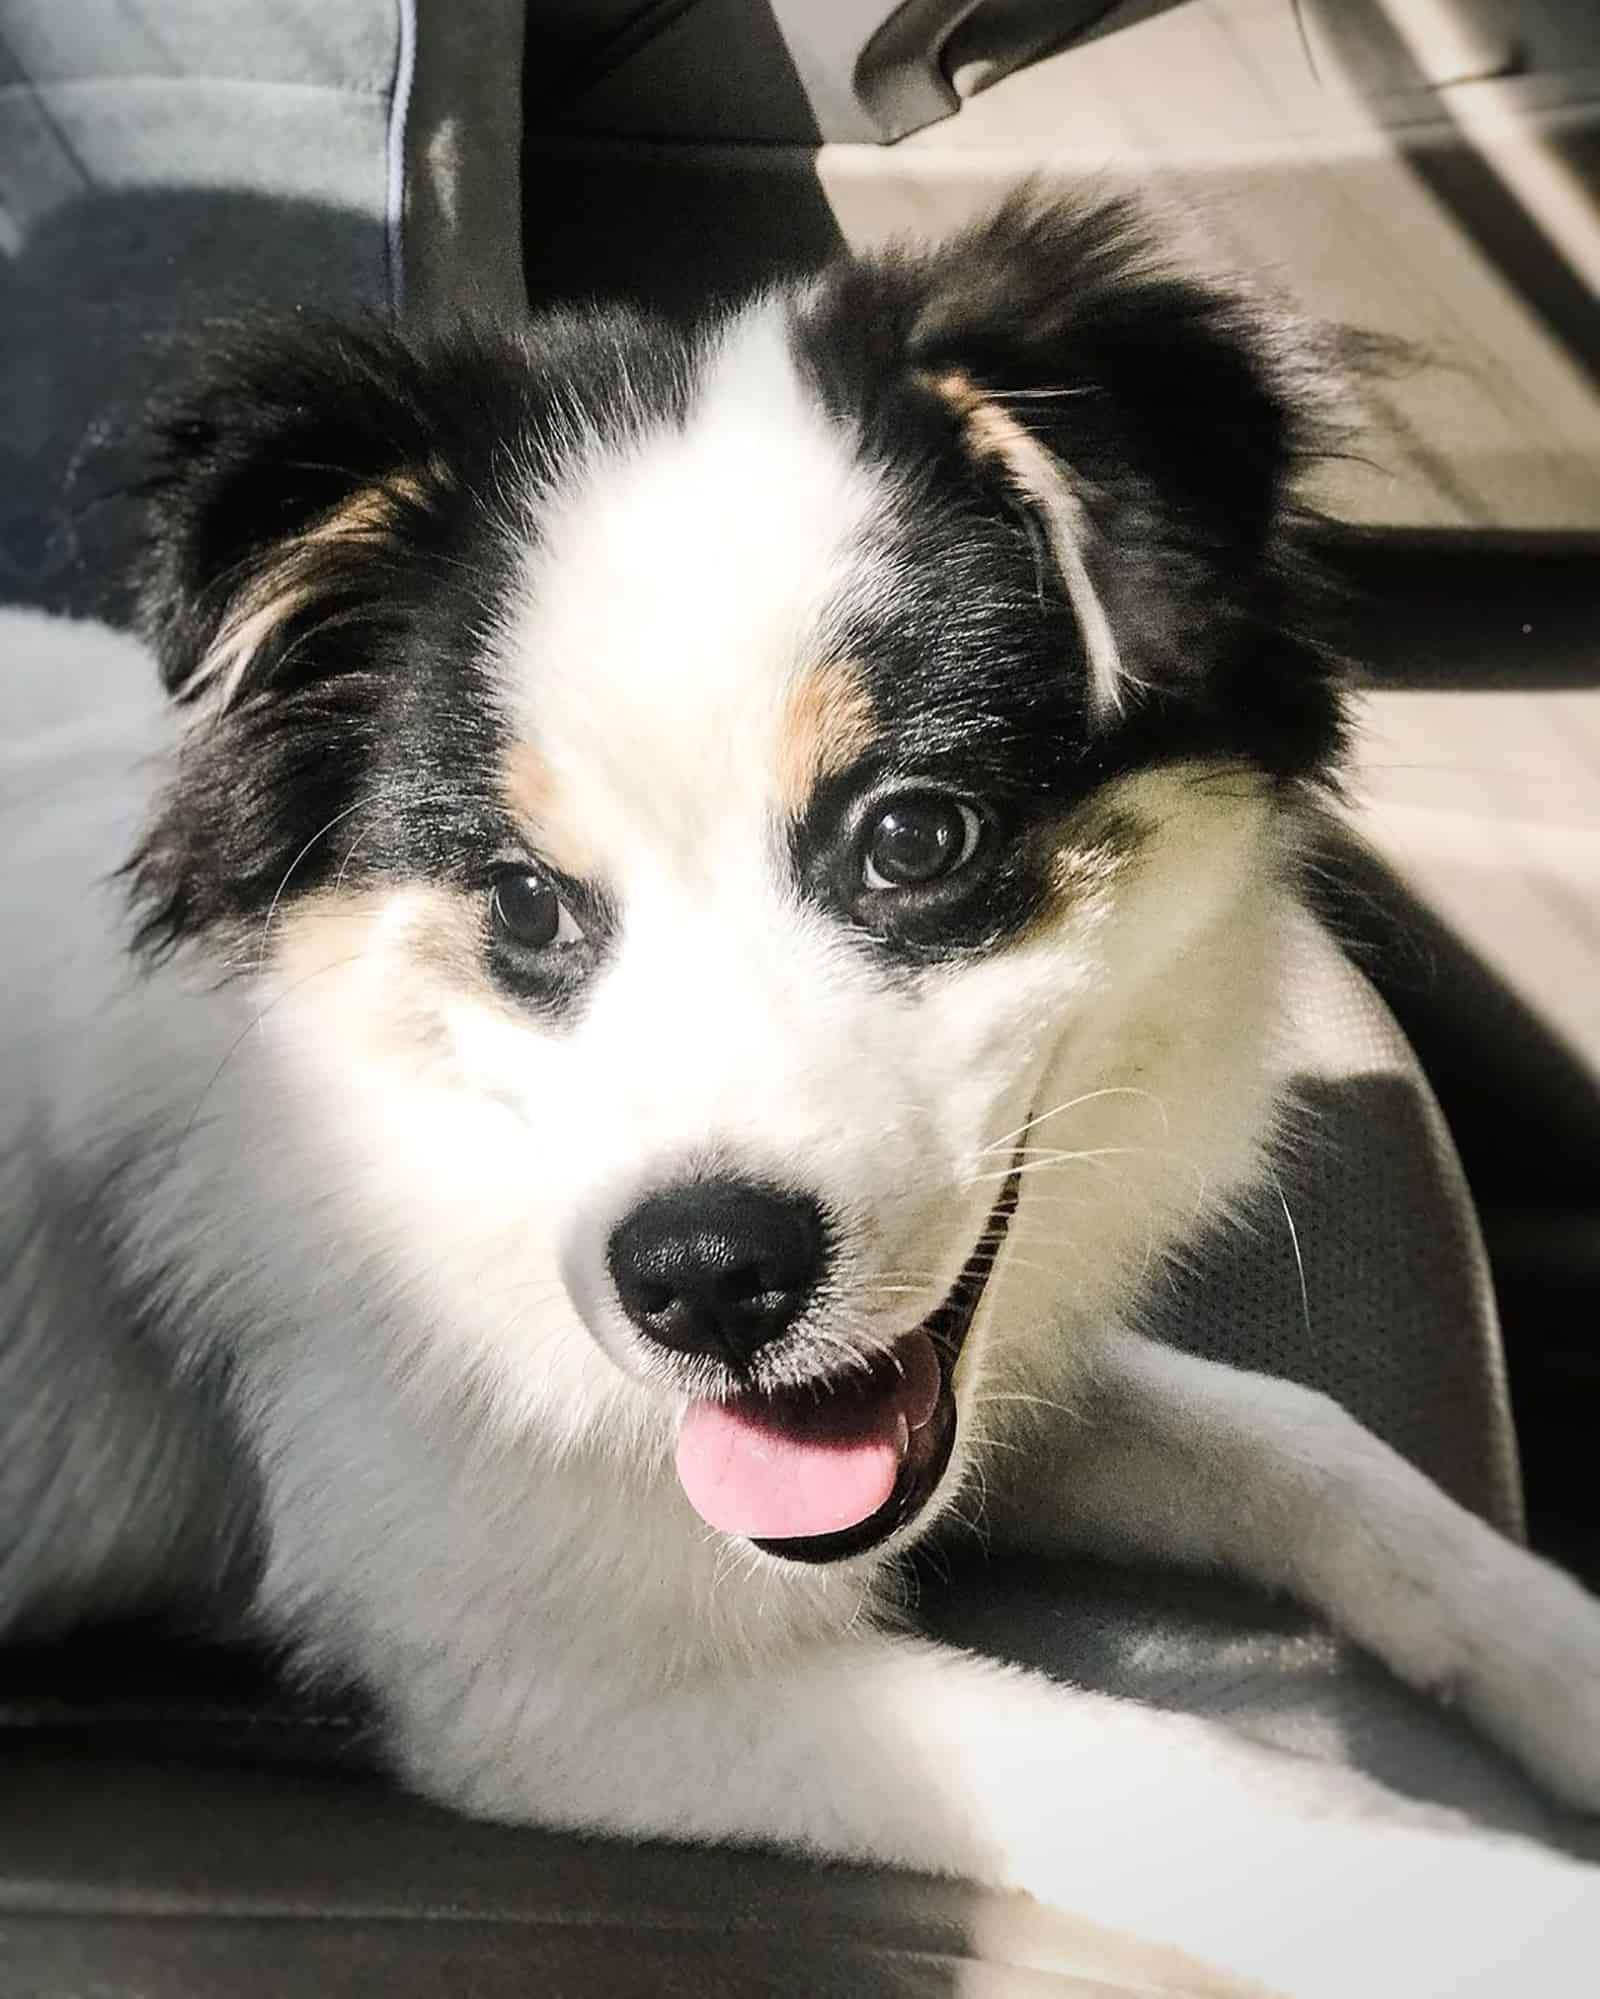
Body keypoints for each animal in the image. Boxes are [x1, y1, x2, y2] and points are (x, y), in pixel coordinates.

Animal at [3, 194, 1600, 1991]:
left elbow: (1307, 1442)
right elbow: (1197, 1771)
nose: (703, 1279)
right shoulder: (554, 1674)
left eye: (916, 834)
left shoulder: (986, 1377)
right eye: (522, 903)